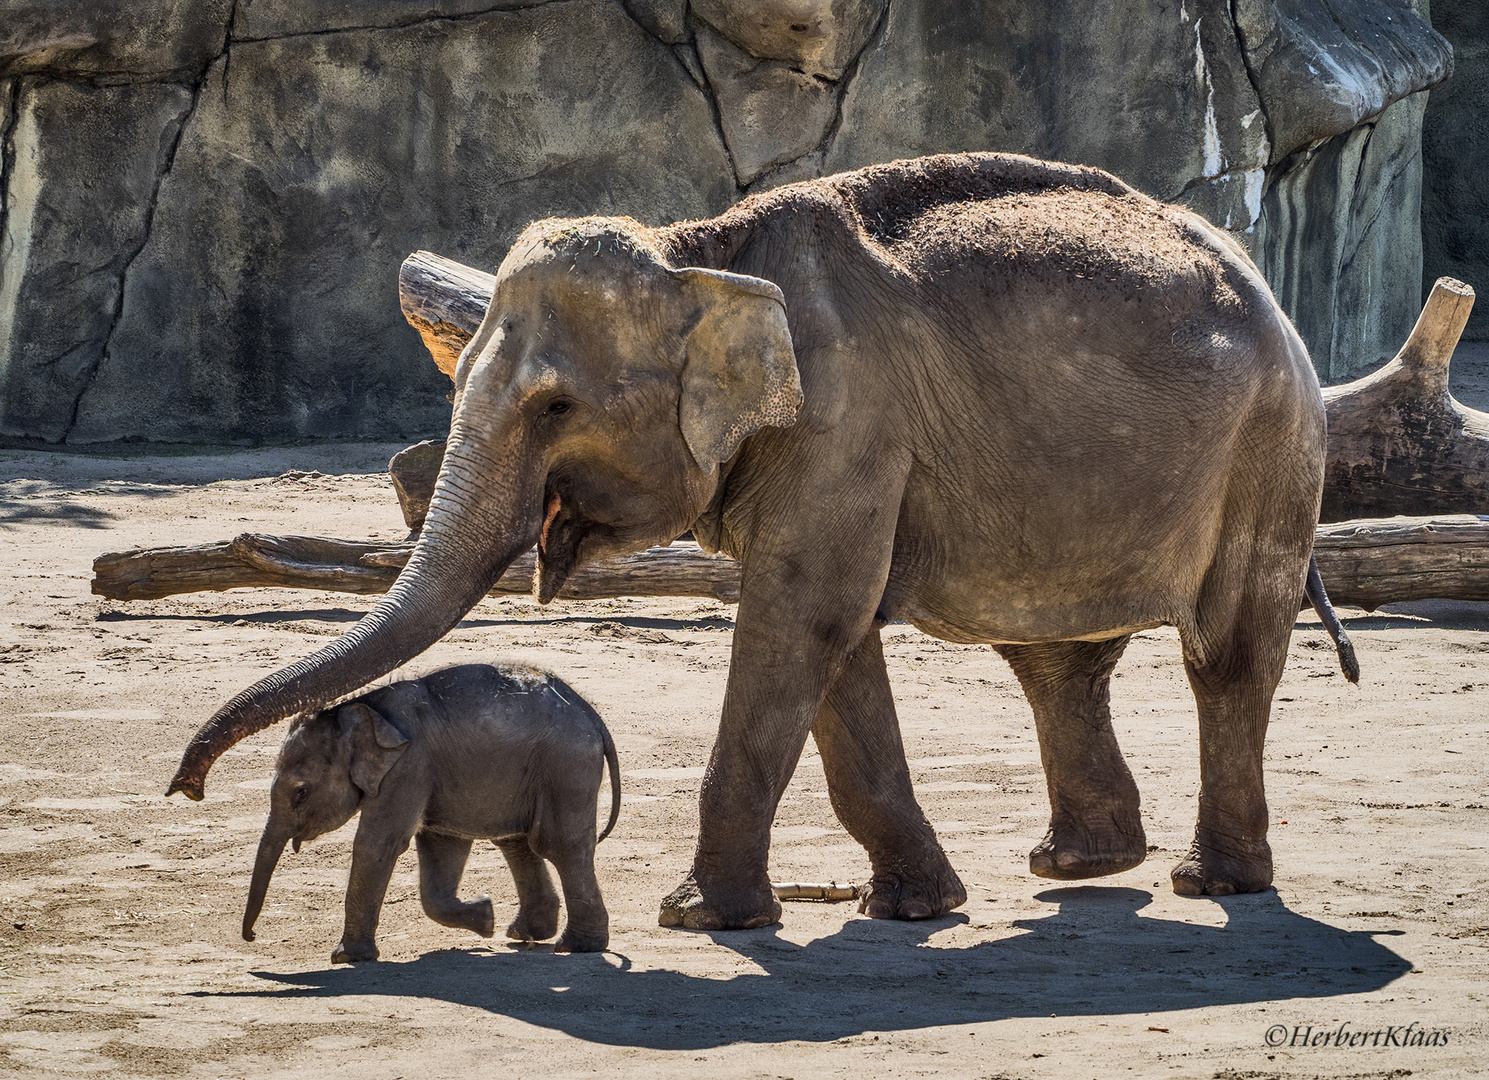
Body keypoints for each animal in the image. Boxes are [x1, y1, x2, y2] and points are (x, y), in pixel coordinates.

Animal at [171, 149, 1328, 929]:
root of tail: (1256, 273)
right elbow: (835, 638)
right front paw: (908, 908)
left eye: (554, 408)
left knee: (1227, 650)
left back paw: (1210, 881)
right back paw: (1077, 869)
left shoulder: (846, 419)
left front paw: (695, 917)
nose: (185, 785)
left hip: (1271, 443)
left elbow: (804, 613)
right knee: (1053, 658)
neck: (702, 256)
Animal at [244, 661, 616, 965]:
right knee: (516, 841)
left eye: (301, 792)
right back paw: (524, 934)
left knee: (560, 845)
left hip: (566, 768)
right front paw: (485, 917)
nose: (251, 936)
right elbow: (441, 845)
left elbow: (378, 844)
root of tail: (594, 718)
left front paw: (345, 957)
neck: (359, 708)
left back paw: (576, 946)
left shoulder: (409, 766)